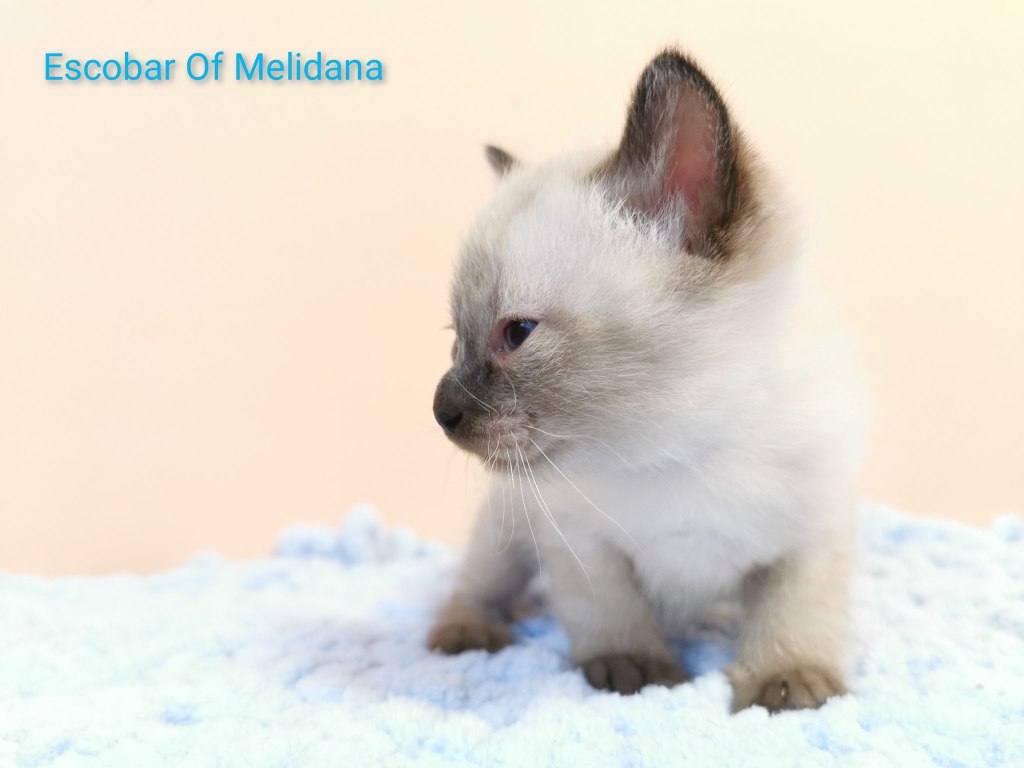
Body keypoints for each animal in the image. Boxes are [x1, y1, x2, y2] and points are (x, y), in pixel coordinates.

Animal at [427, 49, 864, 713]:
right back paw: (467, 634)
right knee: (479, 585)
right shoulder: (580, 545)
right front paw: (637, 673)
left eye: (518, 333)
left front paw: (787, 684)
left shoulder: (812, 534)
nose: (442, 411)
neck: (677, 451)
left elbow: (794, 613)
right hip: (506, 527)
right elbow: (611, 615)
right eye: (457, 340)